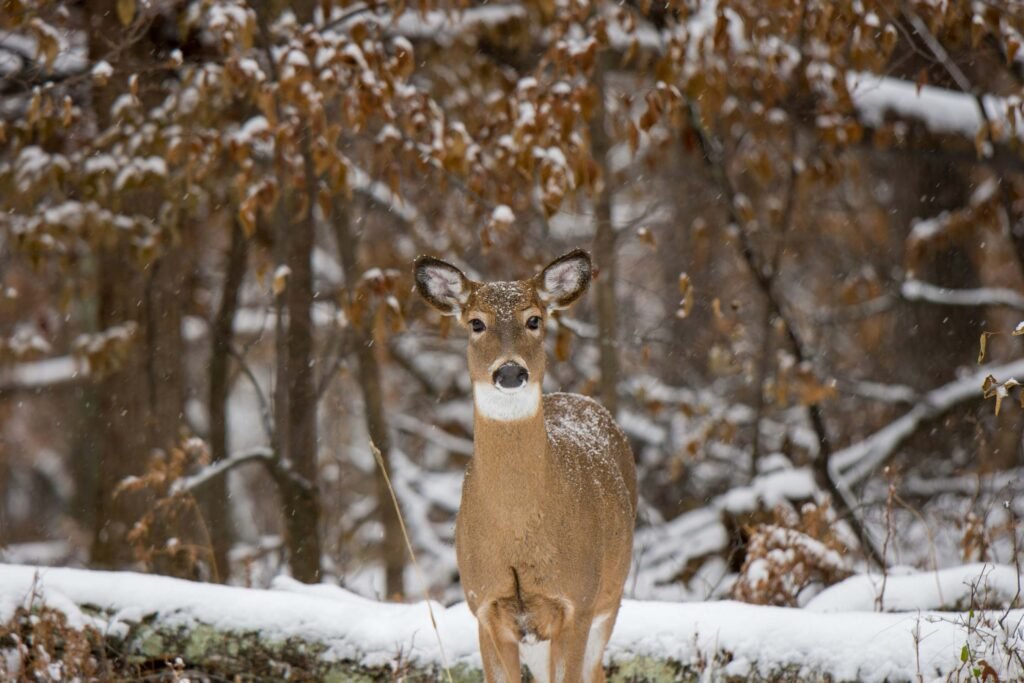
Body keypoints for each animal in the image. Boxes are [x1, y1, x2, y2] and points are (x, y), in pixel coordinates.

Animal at [413, 250, 634, 683]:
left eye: (534, 319)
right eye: (476, 322)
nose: (511, 371)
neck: (518, 533)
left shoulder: (577, 600)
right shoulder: (484, 608)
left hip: (610, 596)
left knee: (596, 669)